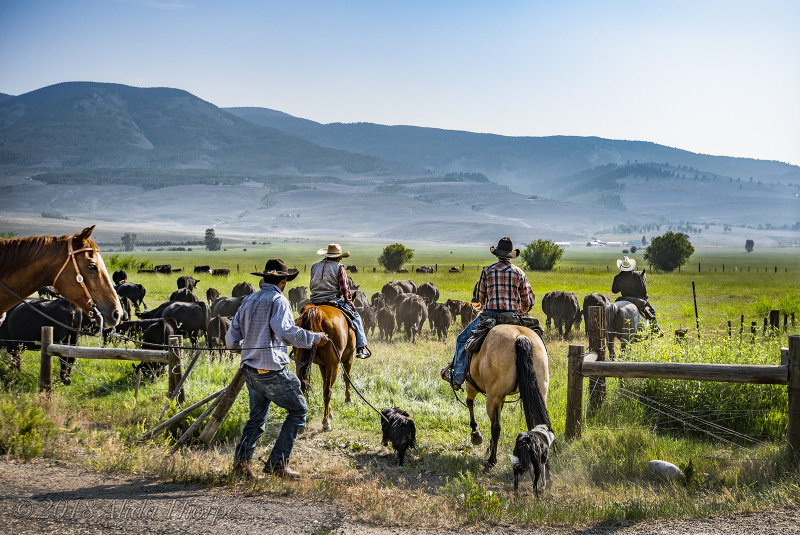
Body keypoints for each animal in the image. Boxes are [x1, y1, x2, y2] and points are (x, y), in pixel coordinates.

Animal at [462, 324, 552, 466]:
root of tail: (521, 337)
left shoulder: (471, 384)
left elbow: (470, 403)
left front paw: (475, 433)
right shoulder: (501, 397)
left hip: (492, 397)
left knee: (495, 427)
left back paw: (491, 460)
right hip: (540, 391)